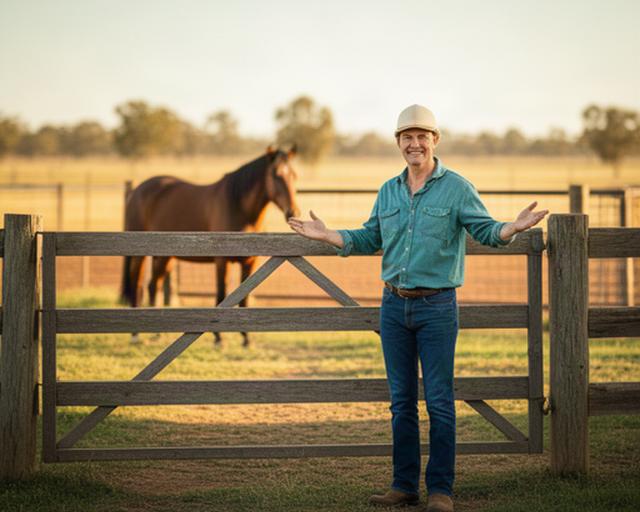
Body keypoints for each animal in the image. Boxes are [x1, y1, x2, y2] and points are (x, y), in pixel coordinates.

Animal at [120, 146, 300, 347]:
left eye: (294, 175)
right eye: (276, 175)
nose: (293, 211)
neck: (238, 207)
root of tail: (136, 191)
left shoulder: (250, 262)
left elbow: (244, 299)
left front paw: (246, 338)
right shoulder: (222, 261)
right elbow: (221, 294)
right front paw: (218, 338)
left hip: (165, 258)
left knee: (153, 285)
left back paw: (157, 333)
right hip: (140, 255)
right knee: (137, 284)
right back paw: (135, 334)